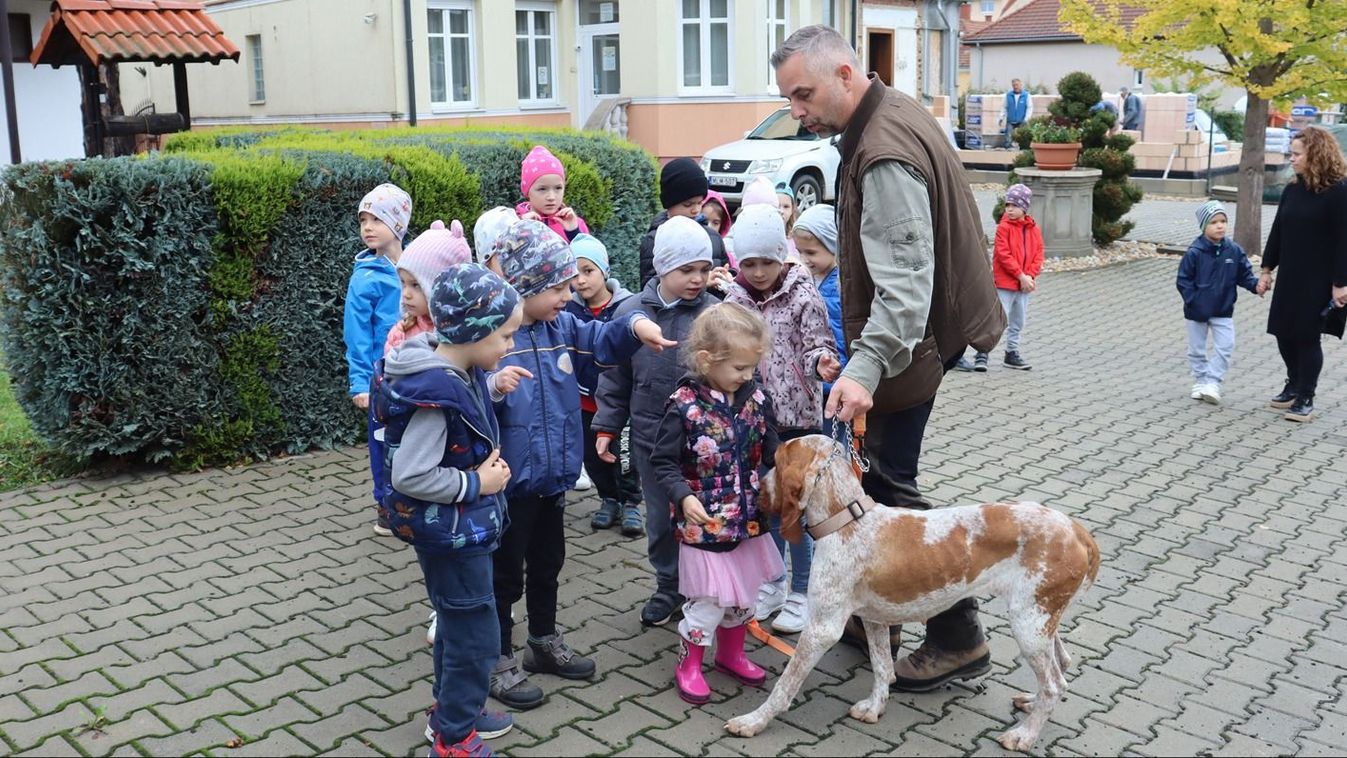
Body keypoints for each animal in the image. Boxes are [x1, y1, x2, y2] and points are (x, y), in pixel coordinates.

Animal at [727, 436, 1093, 748]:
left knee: (1054, 685)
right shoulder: (873, 619)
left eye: (775, 460)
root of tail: (1076, 529)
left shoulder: (821, 629)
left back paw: (1024, 735)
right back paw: (1031, 703)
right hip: (1040, 621)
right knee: (1062, 666)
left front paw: (752, 721)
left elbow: (785, 684)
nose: (757, 493)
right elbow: (882, 668)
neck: (847, 520)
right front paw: (874, 708)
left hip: (1028, 624)